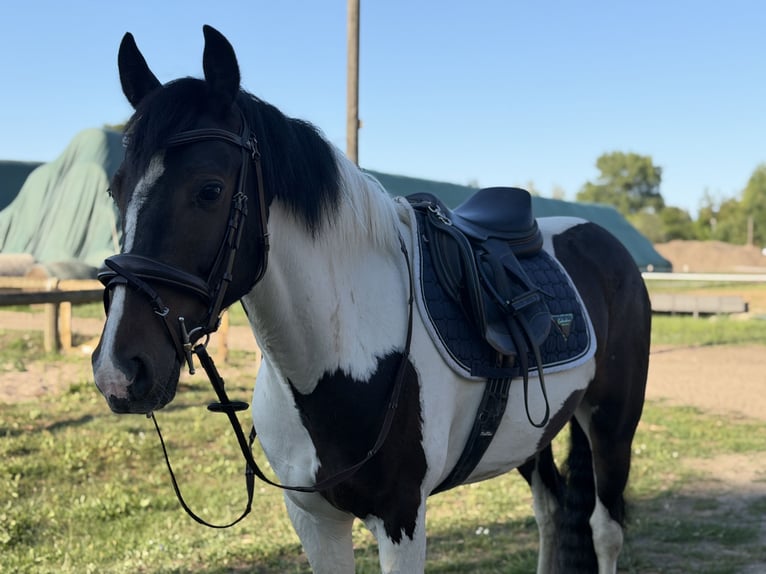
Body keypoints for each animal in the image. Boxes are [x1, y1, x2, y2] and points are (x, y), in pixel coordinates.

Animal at [92, 25, 650, 574]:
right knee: (550, 512)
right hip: (532, 435)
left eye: (209, 190)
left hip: (611, 425)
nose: (118, 370)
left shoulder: (402, 517)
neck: (340, 351)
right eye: (115, 190)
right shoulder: (313, 519)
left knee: (604, 531)